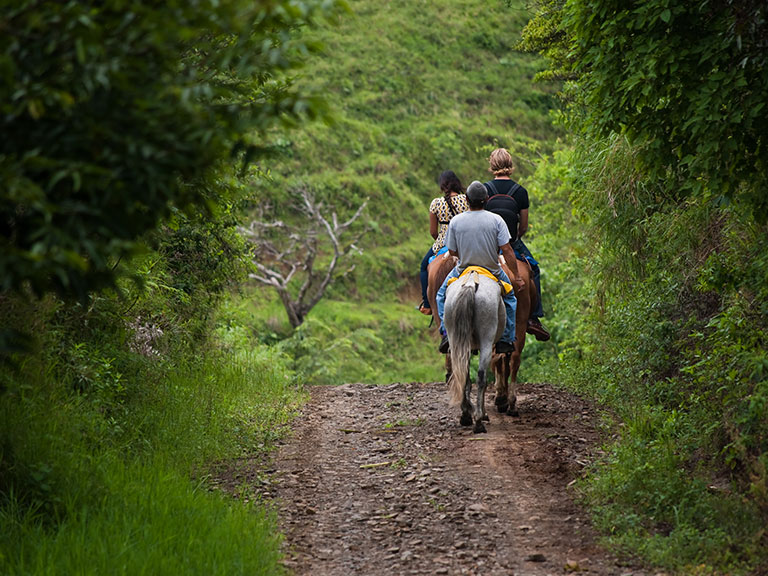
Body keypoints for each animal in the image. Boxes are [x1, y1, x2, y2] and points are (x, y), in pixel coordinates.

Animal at [440, 270, 508, 432]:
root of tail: (471, 285)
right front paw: (483, 414)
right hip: (487, 340)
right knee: (481, 377)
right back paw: (478, 422)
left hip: (456, 340)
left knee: (463, 375)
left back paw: (466, 415)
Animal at [492, 255, 536, 414]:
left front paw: (500, 396)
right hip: (519, 322)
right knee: (514, 358)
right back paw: (510, 402)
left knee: (500, 359)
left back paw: (503, 399)